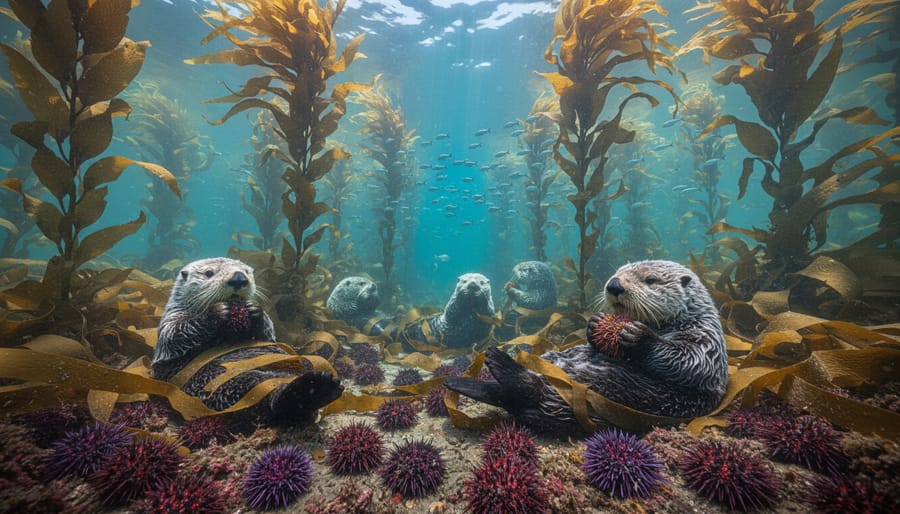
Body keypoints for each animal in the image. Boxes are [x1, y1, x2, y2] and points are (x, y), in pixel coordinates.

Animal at [152, 257, 343, 425]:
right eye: (209, 273)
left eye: (247, 271)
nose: (239, 278)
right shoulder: (170, 320)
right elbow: (175, 334)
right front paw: (217, 311)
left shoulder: (268, 336)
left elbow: (269, 332)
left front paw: (255, 309)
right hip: (216, 382)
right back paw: (310, 389)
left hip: (302, 363)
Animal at [446, 260, 728, 435]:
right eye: (616, 272)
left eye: (650, 280)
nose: (614, 285)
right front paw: (594, 324)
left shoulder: (707, 342)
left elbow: (690, 362)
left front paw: (638, 336)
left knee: (528, 390)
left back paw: (496, 359)